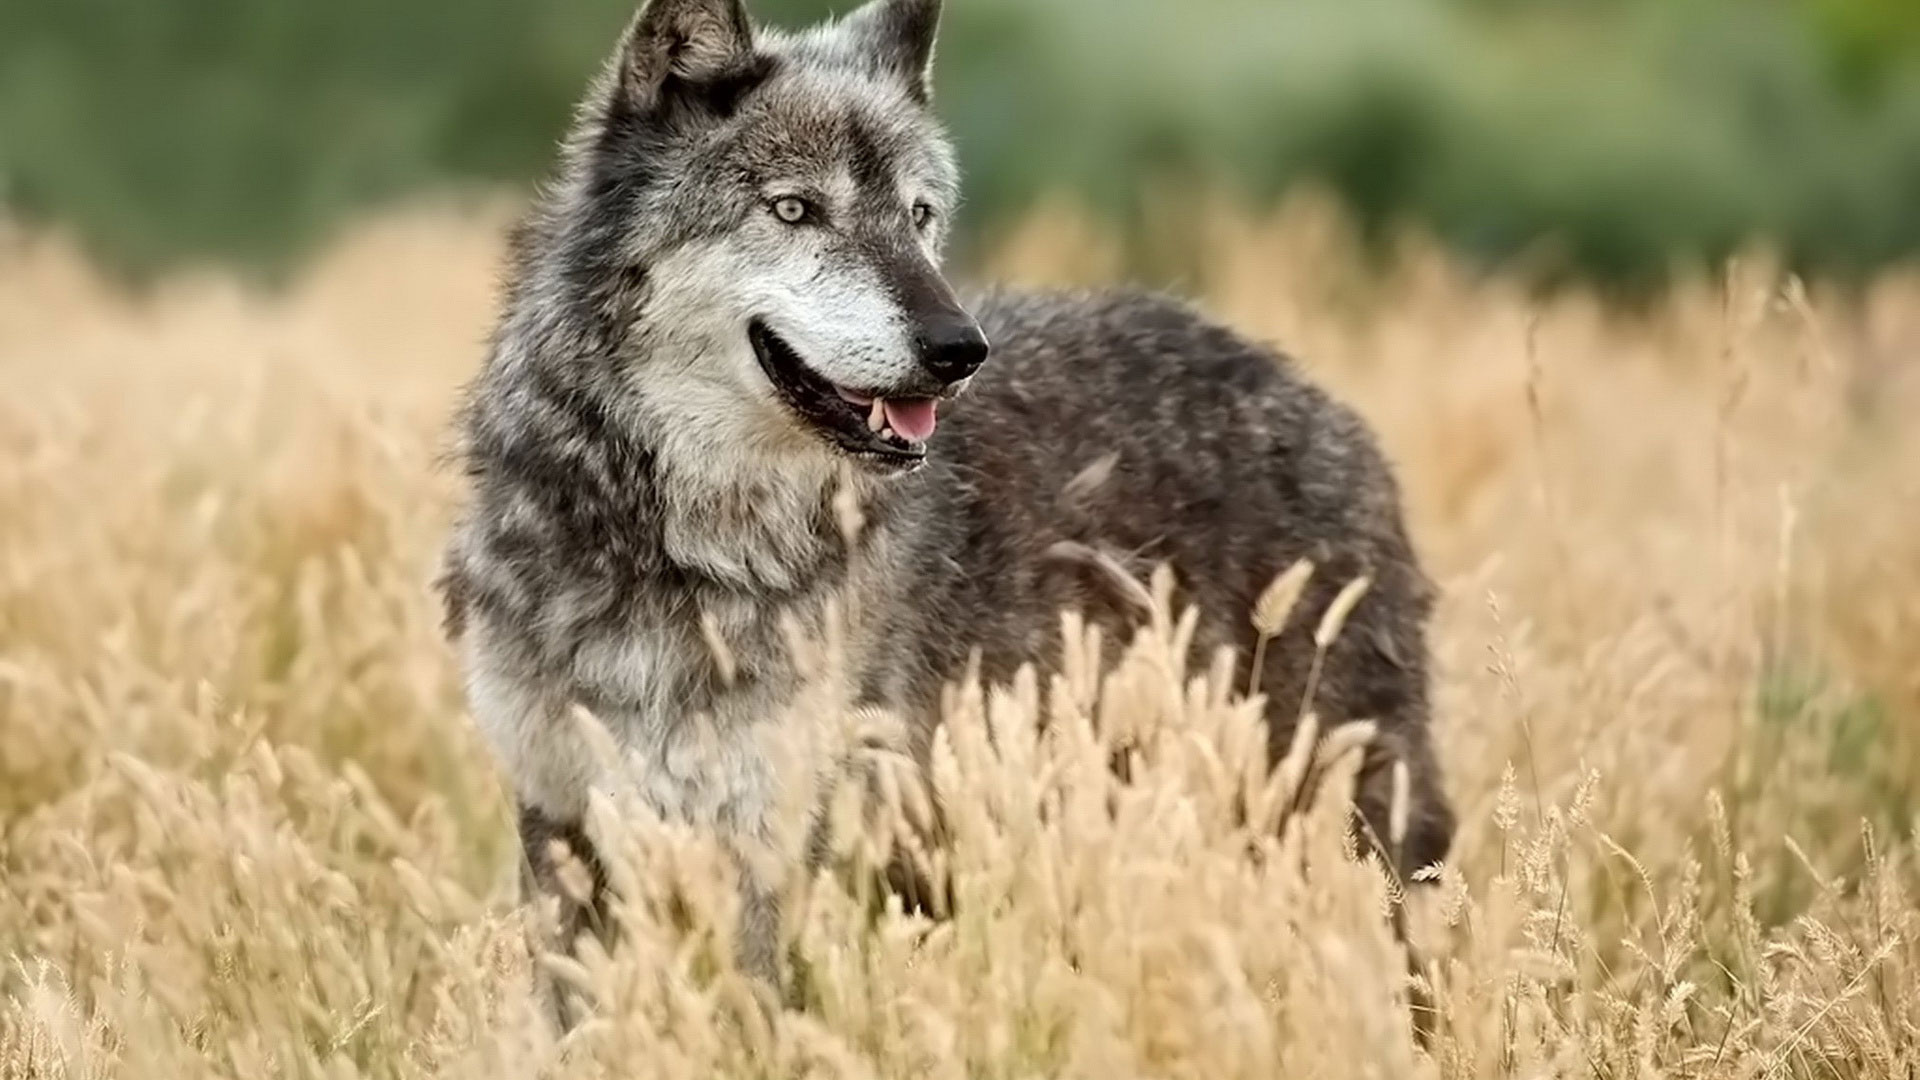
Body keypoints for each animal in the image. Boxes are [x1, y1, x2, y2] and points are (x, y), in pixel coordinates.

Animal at [439, 0, 1451, 1022]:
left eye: (919, 215)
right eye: (795, 209)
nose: (960, 347)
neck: (681, 542)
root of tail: (1318, 399)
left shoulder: (780, 843)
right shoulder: (565, 826)